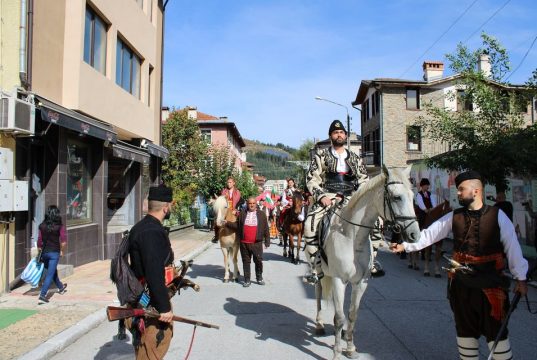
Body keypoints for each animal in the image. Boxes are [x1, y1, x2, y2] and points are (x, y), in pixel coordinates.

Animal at [312, 167, 420, 360]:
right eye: (396, 197)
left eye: (412, 196)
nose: (415, 234)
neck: (353, 238)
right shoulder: (339, 280)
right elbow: (339, 317)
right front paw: (337, 353)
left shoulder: (360, 282)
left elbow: (352, 315)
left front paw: (350, 348)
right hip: (319, 271)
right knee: (318, 294)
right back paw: (319, 324)